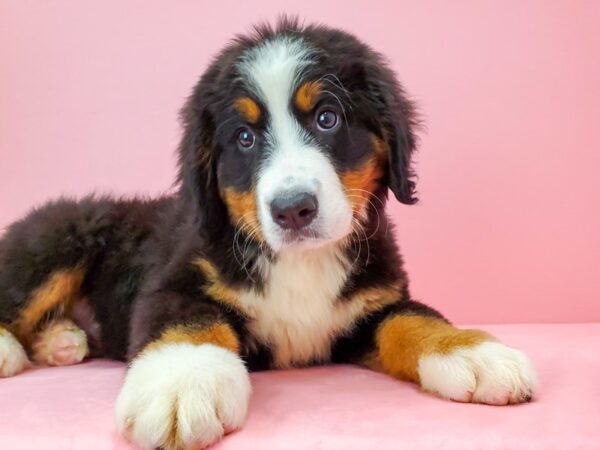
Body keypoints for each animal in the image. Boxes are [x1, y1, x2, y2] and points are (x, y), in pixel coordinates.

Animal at [0, 18, 536, 450]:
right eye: (244, 137)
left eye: (327, 118)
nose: (293, 209)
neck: (300, 263)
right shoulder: (175, 282)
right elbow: (189, 322)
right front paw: (181, 384)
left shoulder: (370, 305)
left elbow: (412, 319)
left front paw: (471, 351)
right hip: (57, 243)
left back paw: (61, 341)